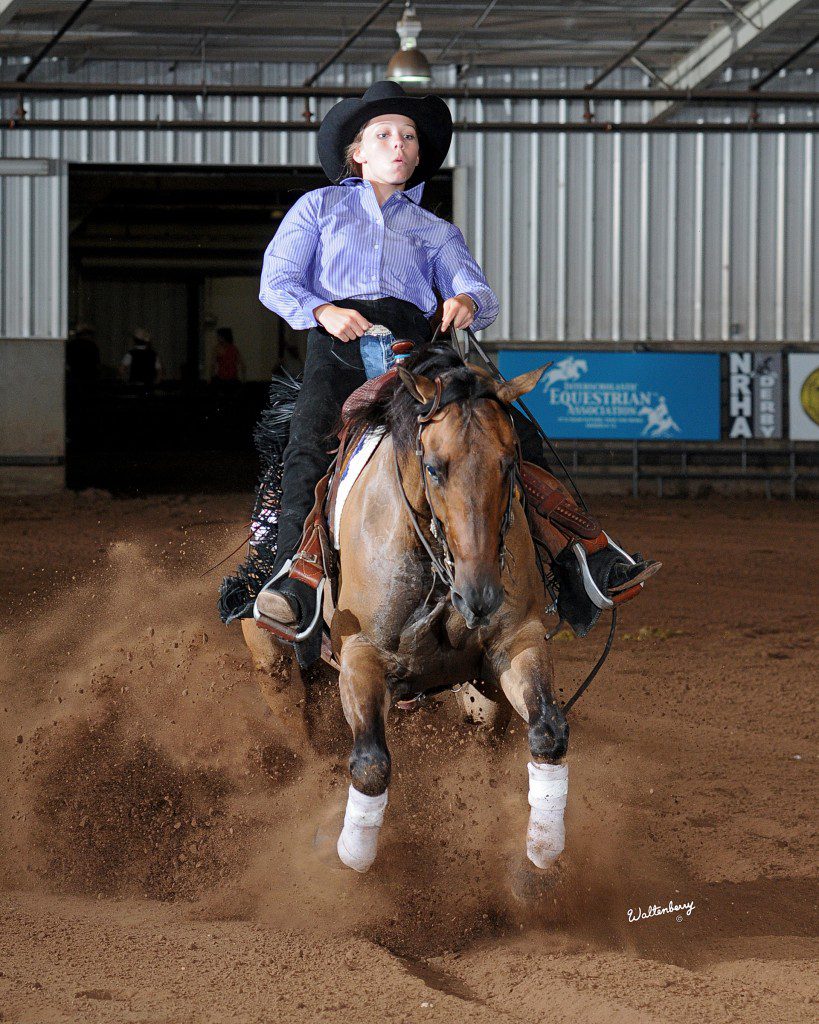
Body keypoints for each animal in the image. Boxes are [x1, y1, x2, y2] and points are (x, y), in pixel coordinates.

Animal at [243, 344, 573, 872]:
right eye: (434, 467)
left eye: (509, 463)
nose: (480, 595)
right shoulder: (360, 654)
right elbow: (371, 764)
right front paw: (352, 859)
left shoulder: (517, 641)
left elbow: (548, 732)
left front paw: (541, 852)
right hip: (271, 660)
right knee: (303, 733)